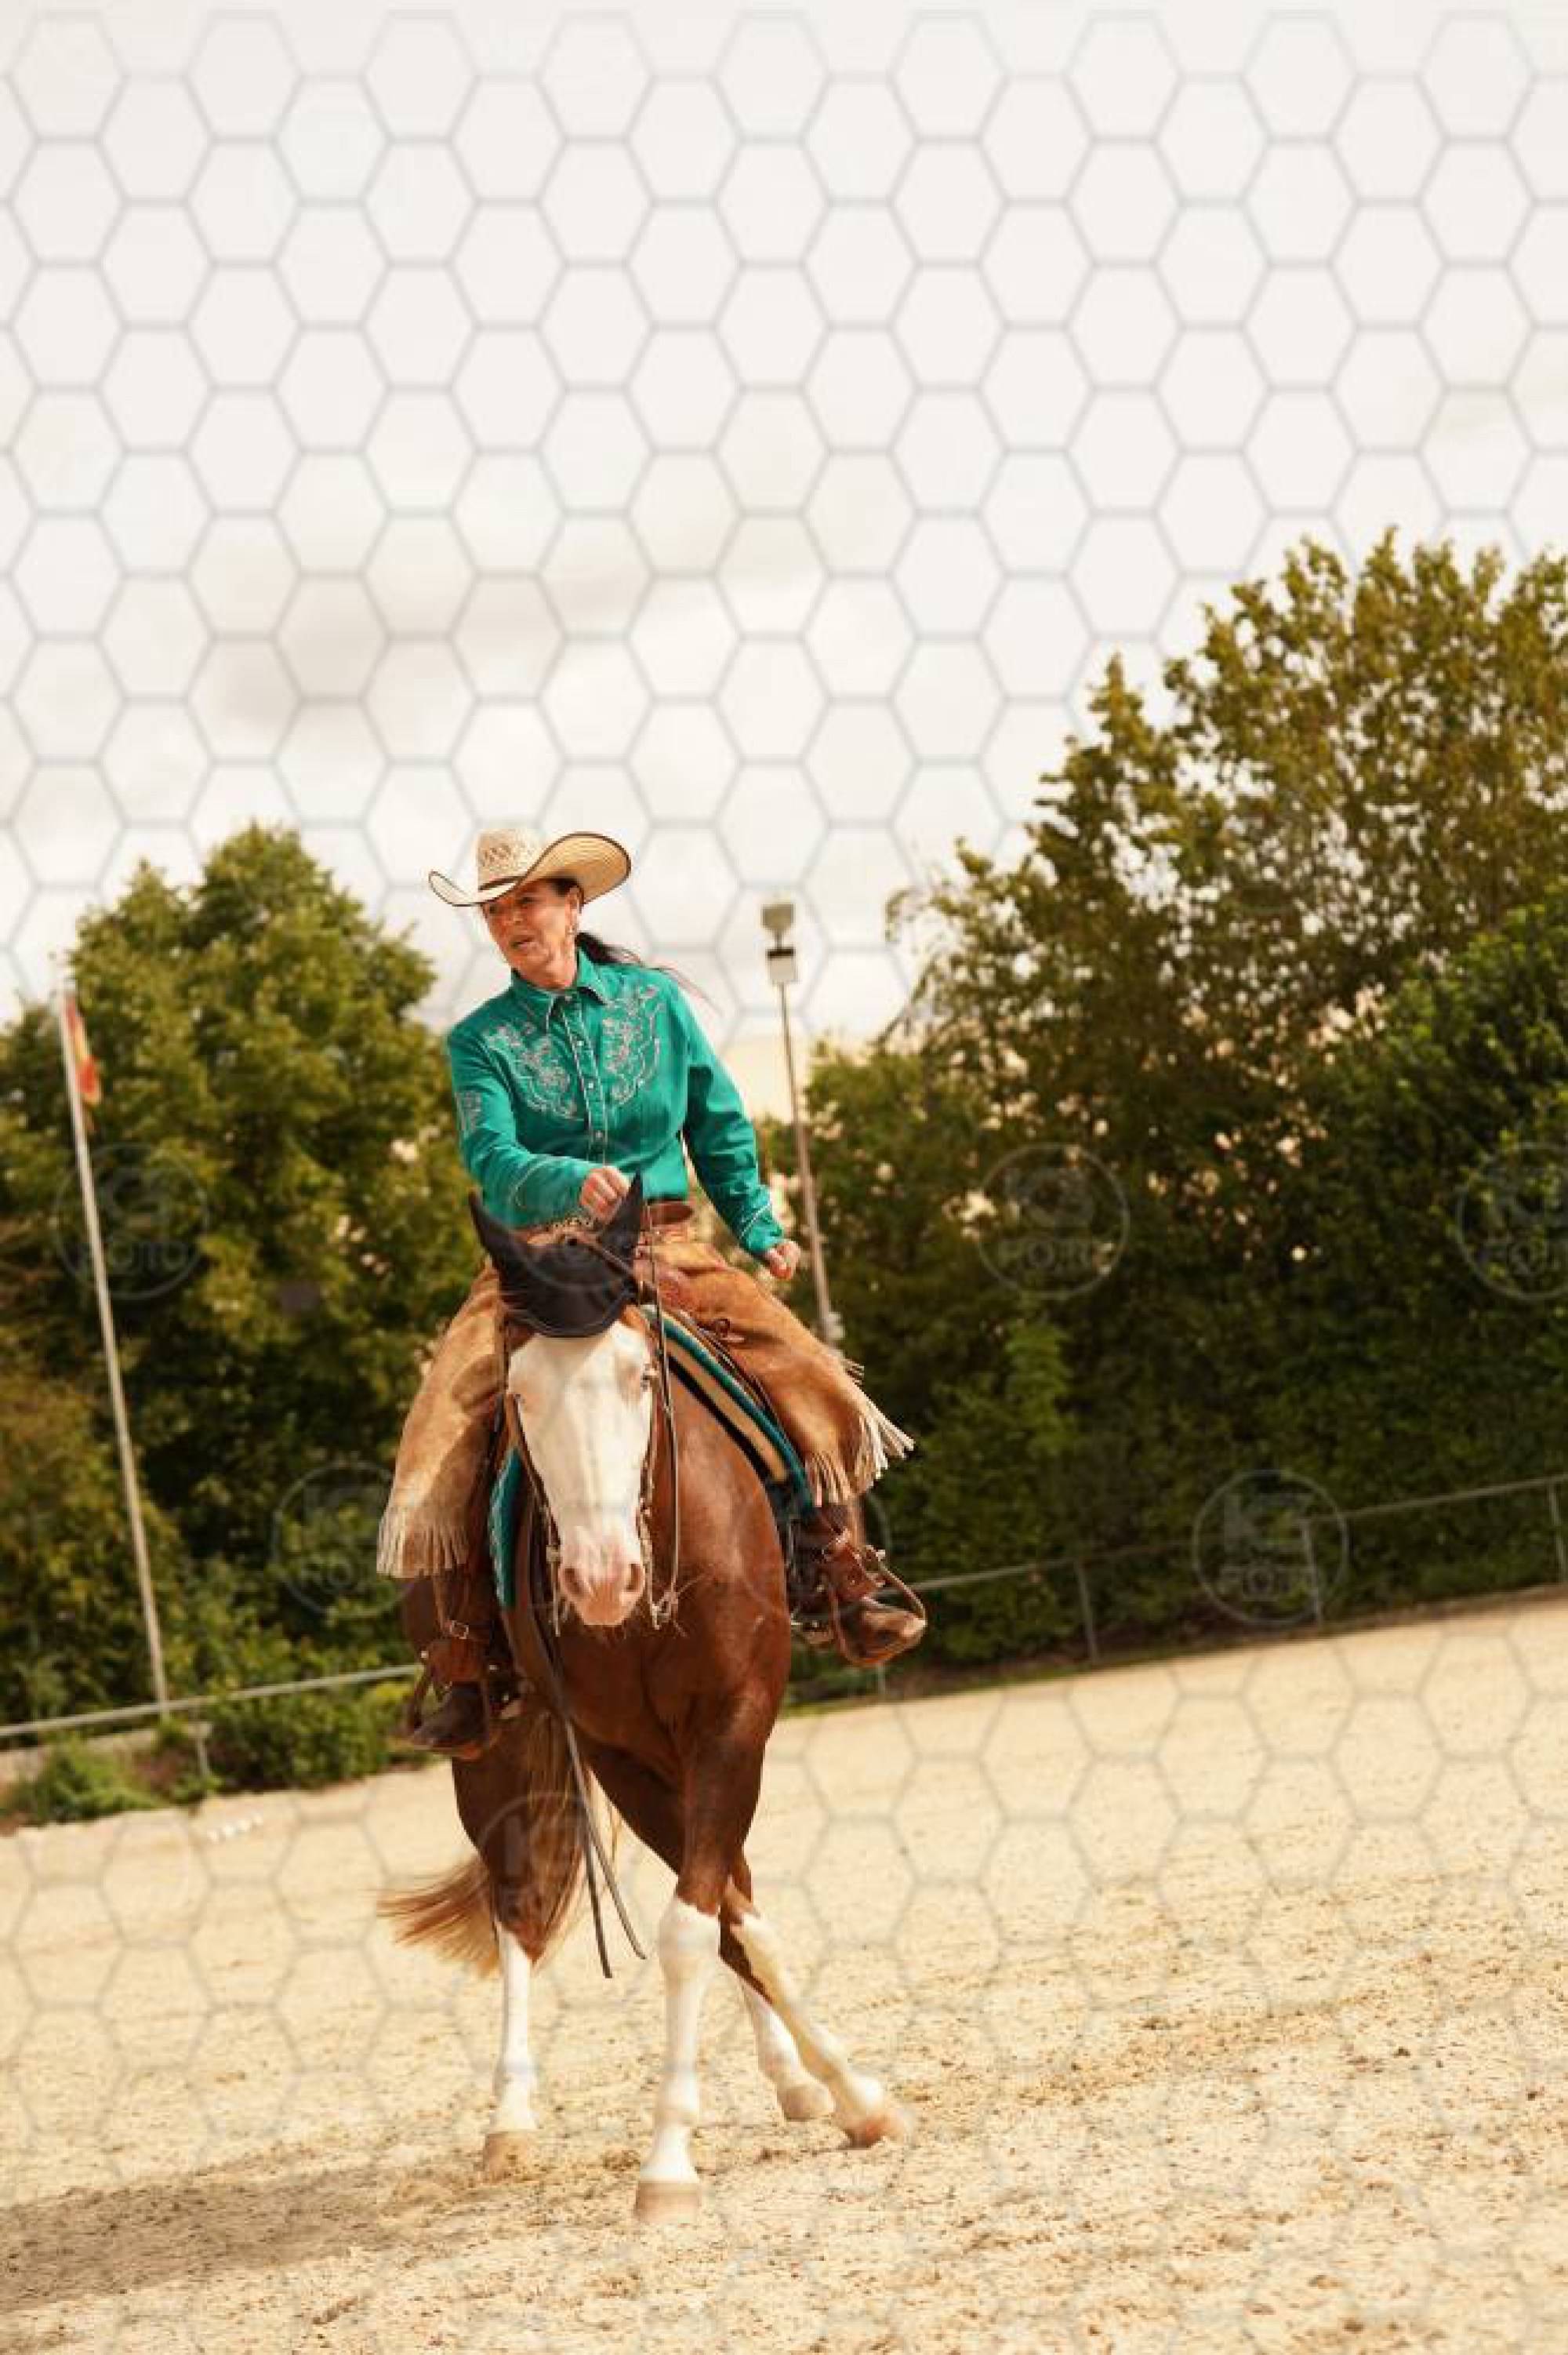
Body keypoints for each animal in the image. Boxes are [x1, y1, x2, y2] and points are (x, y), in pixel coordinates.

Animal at [380, 1175, 909, 2223]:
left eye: (638, 1376)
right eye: (517, 1393)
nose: (597, 1576)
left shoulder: (733, 1724)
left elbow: (710, 1921)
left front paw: (842, 2093)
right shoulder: (618, 1753)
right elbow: (714, 1921)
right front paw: (675, 2154)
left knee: (726, 1887)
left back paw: (790, 2078)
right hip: (494, 1744)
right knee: (515, 1906)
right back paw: (510, 2118)